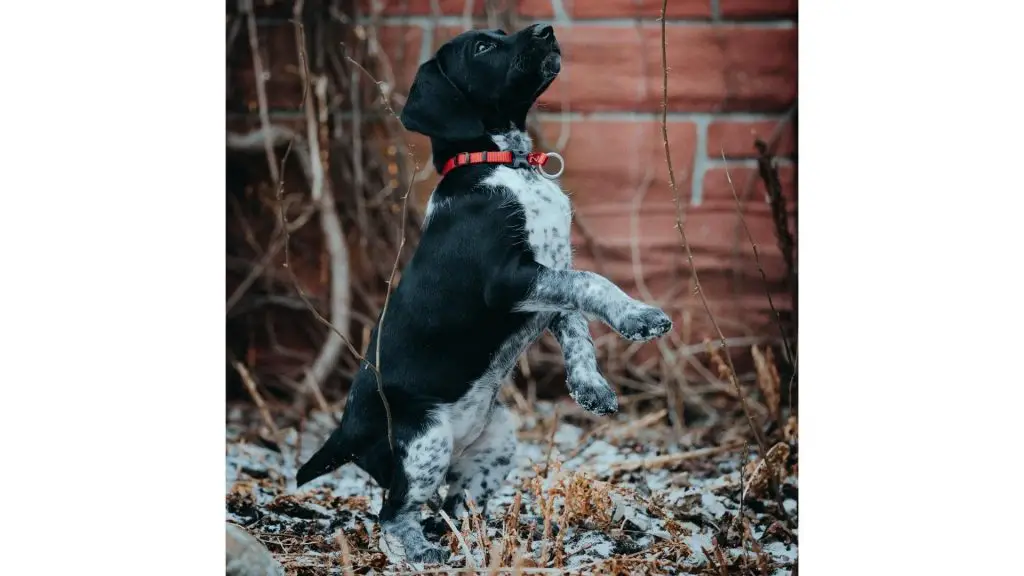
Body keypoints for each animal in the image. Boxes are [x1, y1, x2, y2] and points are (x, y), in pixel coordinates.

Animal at [296, 23, 671, 561]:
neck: (505, 162)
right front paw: (638, 317)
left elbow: (577, 322)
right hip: (423, 442)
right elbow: (593, 282)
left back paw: (484, 538)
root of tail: (345, 431)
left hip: (496, 442)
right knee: (394, 511)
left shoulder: (549, 276)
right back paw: (419, 552)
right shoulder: (510, 279)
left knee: (455, 505)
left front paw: (590, 387)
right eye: (483, 47)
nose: (546, 30)